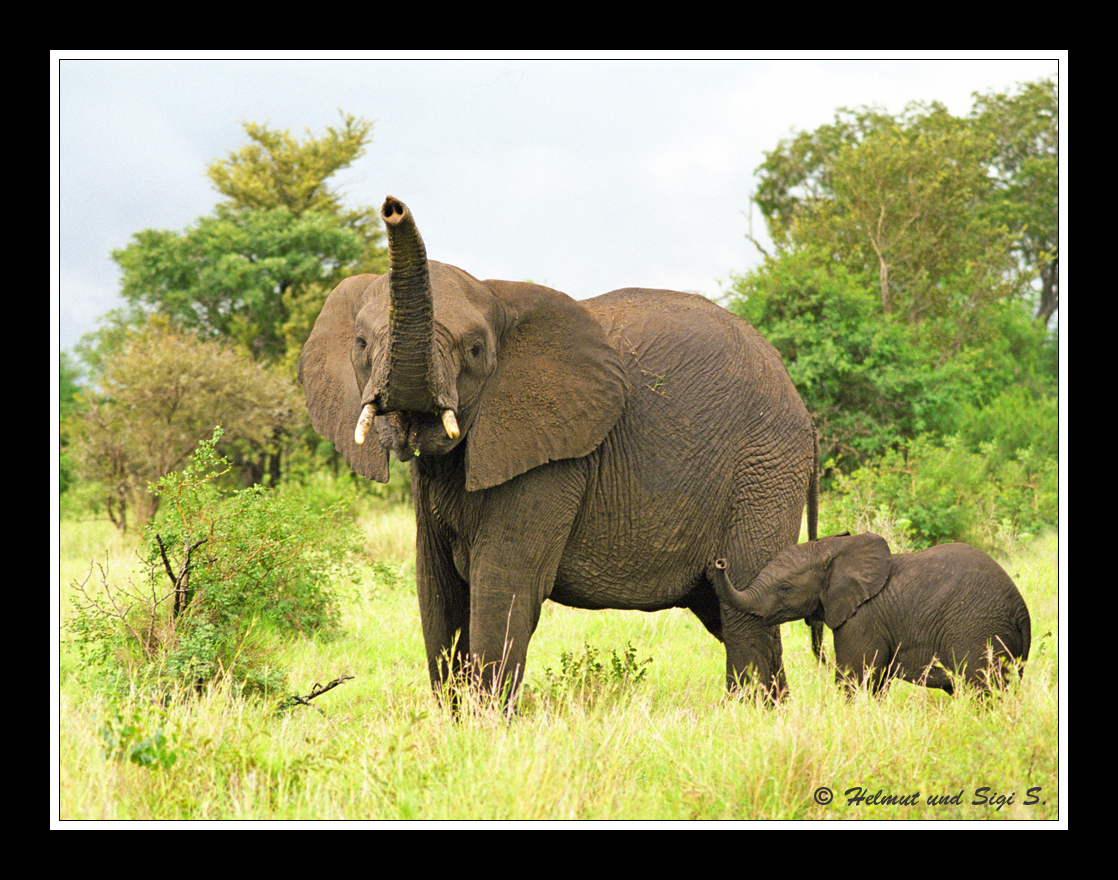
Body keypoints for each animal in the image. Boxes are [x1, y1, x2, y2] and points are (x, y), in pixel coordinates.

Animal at [301, 195, 818, 706]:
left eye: (475, 350)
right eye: (362, 344)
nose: (392, 206)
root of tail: (800, 405)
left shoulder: (553, 462)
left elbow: (505, 587)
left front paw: (486, 722)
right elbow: (438, 593)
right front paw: (455, 719)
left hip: (764, 466)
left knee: (745, 609)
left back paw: (753, 714)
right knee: (726, 608)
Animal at [711, 534, 1033, 697]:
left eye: (784, 588)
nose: (720, 561)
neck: (836, 548)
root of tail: (1020, 609)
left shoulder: (861, 620)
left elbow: (855, 677)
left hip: (977, 630)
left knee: (980, 688)